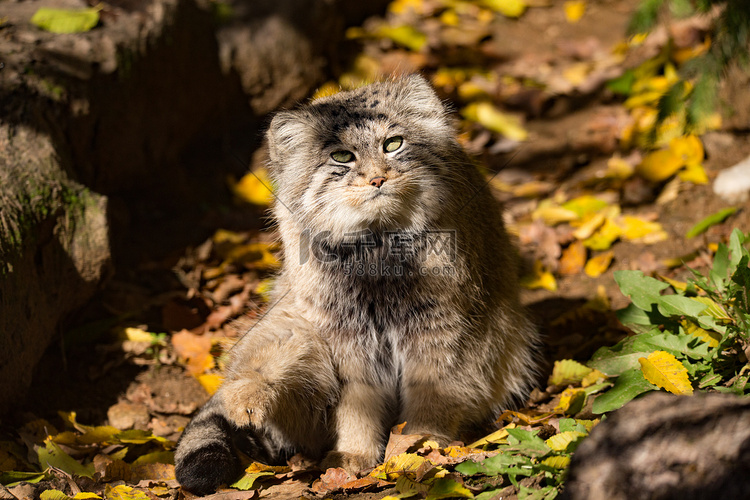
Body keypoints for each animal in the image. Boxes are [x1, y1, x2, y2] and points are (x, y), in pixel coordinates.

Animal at [176, 76, 540, 494]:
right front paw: (355, 453)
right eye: (342, 157)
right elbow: (356, 405)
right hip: (294, 326)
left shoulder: (442, 330)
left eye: (393, 144)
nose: (377, 178)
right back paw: (249, 403)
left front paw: (421, 447)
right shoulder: (348, 339)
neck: (378, 251)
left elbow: (433, 395)